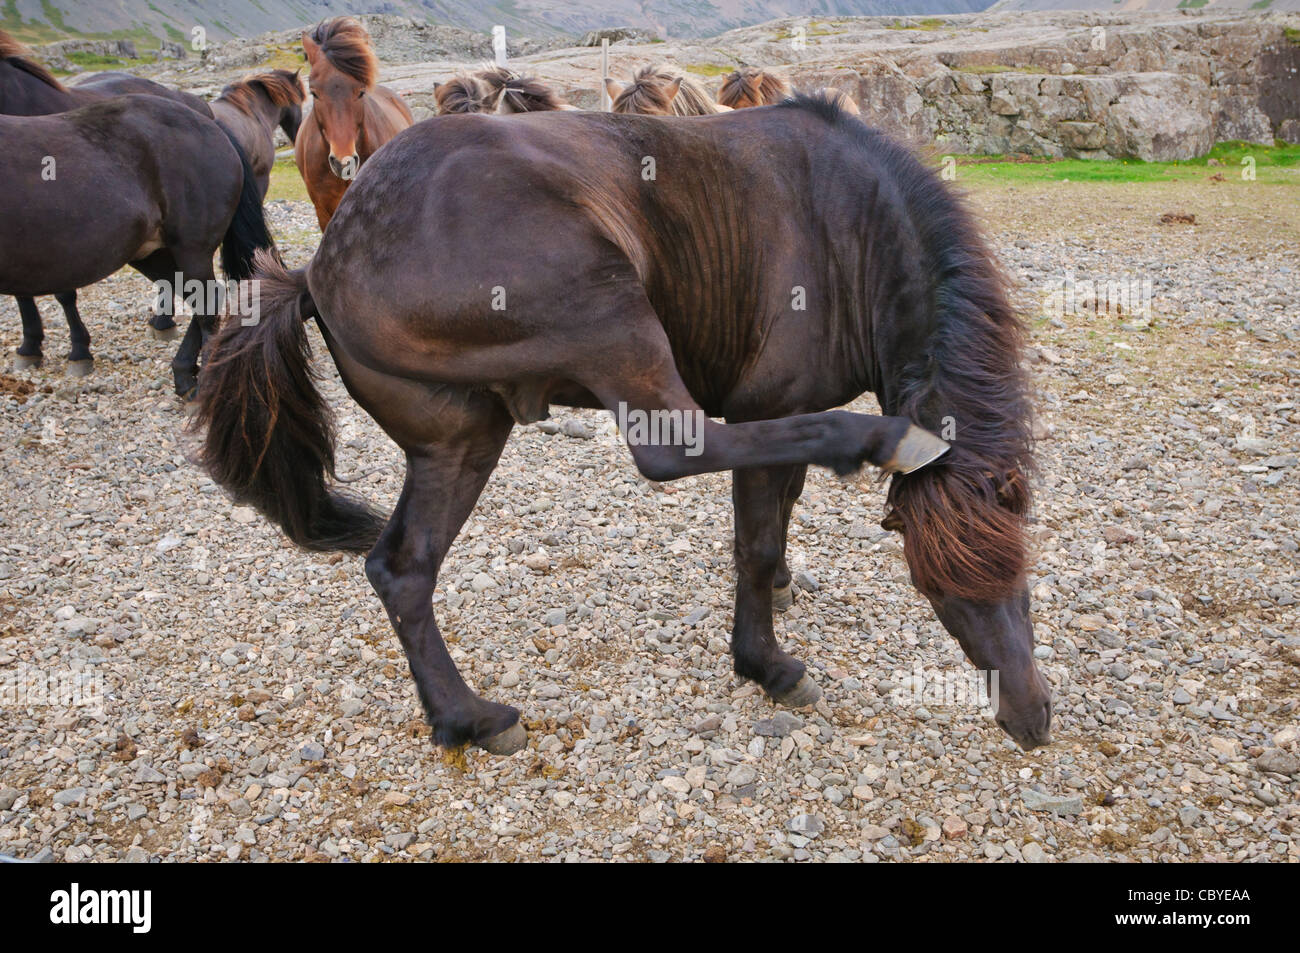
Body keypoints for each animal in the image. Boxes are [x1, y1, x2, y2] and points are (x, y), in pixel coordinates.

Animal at [192, 96, 1050, 759]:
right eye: (932, 584)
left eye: (1022, 573)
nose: (1032, 718)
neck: (852, 226)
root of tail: (321, 269)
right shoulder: (770, 405)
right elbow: (756, 533)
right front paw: (765, 661)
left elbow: (782, 512)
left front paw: (780, 587)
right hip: (606, 308)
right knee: (671, 447)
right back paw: (881, 441)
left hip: (459, 438)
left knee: (402, 569)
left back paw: (466, 718)